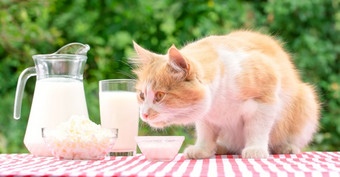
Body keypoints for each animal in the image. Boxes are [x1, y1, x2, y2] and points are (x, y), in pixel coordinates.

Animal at [131, 30, 320, 159]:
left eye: (159, 95)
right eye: (141, 95)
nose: (144, 114)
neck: (218, 102)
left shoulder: (265, 99)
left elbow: (257, 129)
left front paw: (255, 149)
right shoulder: (206, 117)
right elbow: (205, 133)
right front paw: (202, 150)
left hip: (307, 99)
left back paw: (286, 147)